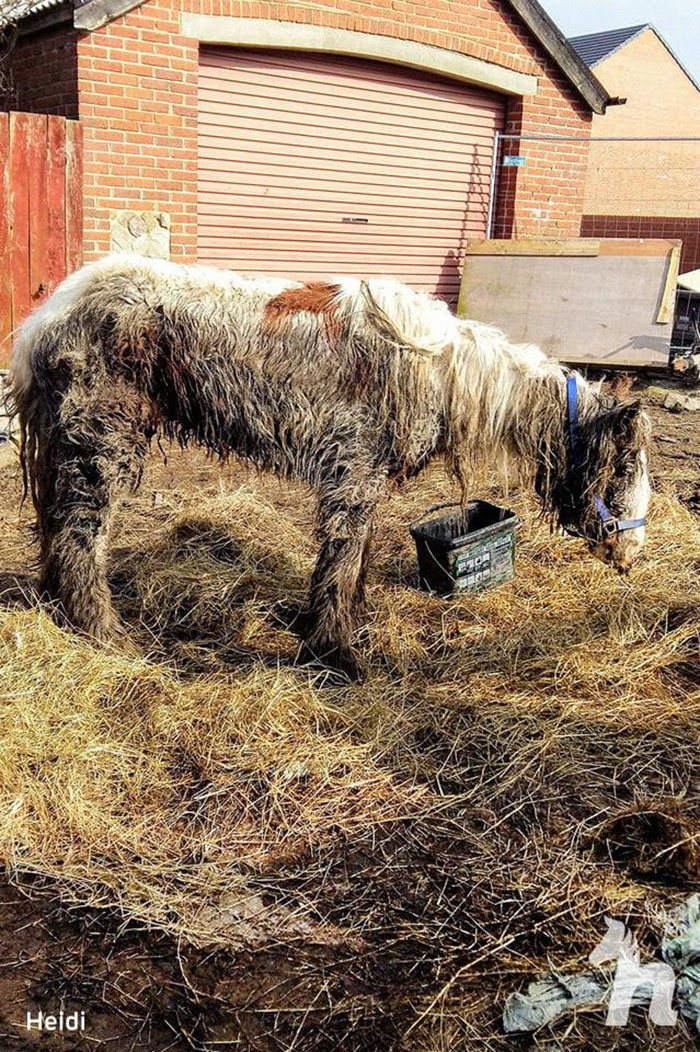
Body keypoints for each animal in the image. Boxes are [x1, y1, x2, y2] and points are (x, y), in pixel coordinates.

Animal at [10, 254, 651, 677]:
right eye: (623, 470)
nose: (632, 553)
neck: (442, 371)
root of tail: (47, 316)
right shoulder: (354, 475)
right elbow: (341, 562)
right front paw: (337, 653)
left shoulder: (364, 481)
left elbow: (354, 561)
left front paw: (343, 629)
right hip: (102, 446)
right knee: (79, 537)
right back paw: (105, 635)